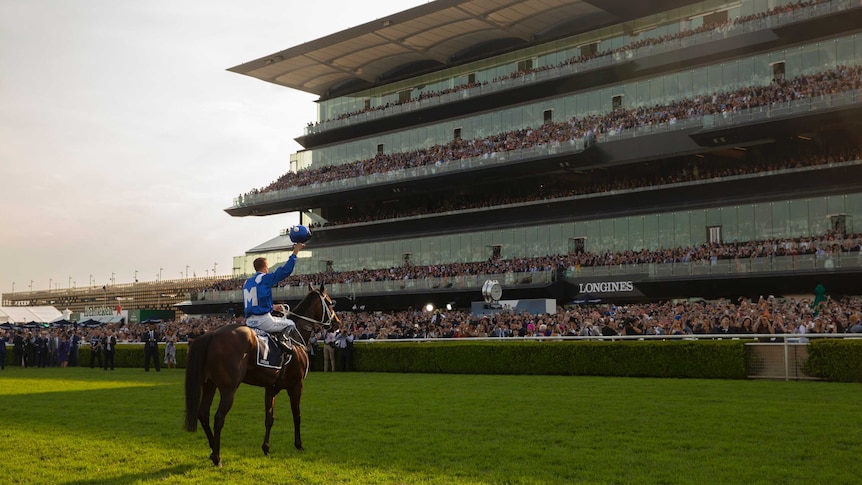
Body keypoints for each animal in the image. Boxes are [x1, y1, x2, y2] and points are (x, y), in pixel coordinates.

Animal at [184, 284, 340, 466]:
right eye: (329, 303)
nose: (337, 323)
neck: (296, 338)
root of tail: (211, 334)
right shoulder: (296, 385)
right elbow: (297, 415)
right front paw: (299, 444)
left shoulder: (271, 388)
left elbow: (269, 418)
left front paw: (266, 448)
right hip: (229, 388)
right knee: (218, 418)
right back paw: (217, 457)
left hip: (209, 385)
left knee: (203, 414)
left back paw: (211, 449)